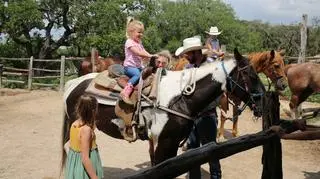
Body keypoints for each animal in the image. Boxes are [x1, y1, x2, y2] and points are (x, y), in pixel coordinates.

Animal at [60, 48, 264, 171]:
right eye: (250, 74)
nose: (262, 101)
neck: (180, 97)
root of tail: (74, 83)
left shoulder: (168, 143)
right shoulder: (164, 142)